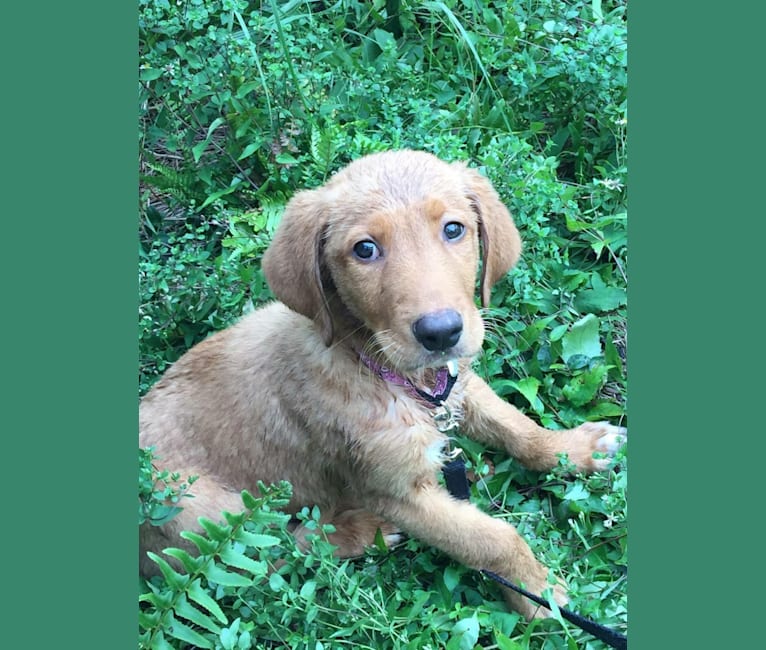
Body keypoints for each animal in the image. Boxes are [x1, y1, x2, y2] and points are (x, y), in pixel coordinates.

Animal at [141, 151, 628, 616]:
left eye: (454, 229)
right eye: (365, 249)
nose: (441, 333)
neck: (387, 373)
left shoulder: (459, 387)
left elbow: (517, 427)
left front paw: (576, 449)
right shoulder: (394, 491)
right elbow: (489, 538)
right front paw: (536, 592)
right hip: (202, 515)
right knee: (273, 554)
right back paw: (361, 530)